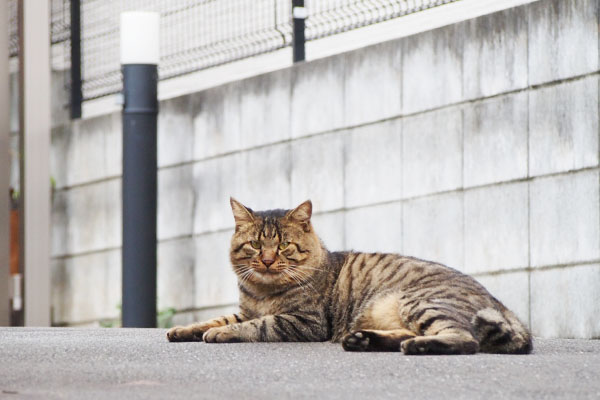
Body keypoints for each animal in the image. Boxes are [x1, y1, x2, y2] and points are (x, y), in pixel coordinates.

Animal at [166, 198, 532, 354]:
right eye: (255, 245)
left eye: (283, 246)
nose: (267, 261)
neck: (263, 291)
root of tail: (502, 304)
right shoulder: (244, 309)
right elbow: (218, 318)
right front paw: (185, 329)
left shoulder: (305, 322)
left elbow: (257, 325)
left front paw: (221, 334)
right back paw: (364, 340)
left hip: (420, 302)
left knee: (465, 340)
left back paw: (416, 346)